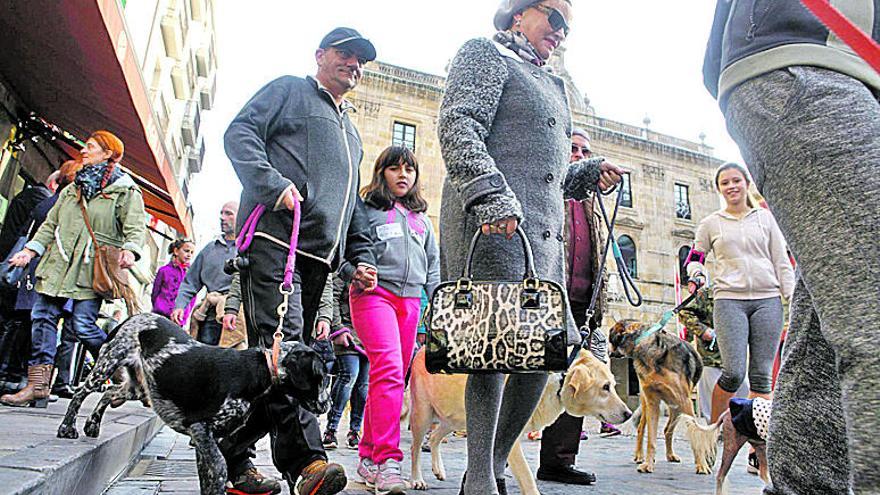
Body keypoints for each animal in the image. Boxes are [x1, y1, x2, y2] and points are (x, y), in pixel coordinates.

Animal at [55, 314, 330, 495]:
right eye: (321, 377)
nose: (327, 404)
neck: (261, 369)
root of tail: (133, 317)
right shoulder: (200, 428)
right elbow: (218, 468)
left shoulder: (205, 438)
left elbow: (207, 474)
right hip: (108, 362)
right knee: (81, 393)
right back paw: (67, 428)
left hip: (137, 387)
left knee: (109, 393)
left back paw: (92, 425)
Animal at [410, 346, 628, 494]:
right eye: (605, 387)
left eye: (612, 385)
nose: (628, 414)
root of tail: (422, 348)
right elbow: (526, 477)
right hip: (423, 414)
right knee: (415, 448)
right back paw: (417, 480)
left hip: (453, 418)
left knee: (435, 437)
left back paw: (438, 470)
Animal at [608, 320, 712, 474]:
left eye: (611, 337)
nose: (608, 352)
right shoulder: (652, 403)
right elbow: (651, 439)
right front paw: (648, 464)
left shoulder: (686, 402)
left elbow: (694, 434)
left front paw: (702, 465)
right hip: (648, 405)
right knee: (641, 428)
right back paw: (640, 456)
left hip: (677, 407)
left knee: (667, 430)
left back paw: (670, 455)